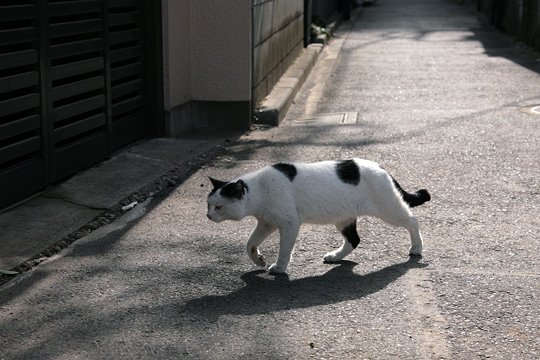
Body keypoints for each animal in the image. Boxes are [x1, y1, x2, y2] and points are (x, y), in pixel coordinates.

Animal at [207, 158, 430, 272]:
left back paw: (416, 248)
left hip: (389, 209)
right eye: (208, 205)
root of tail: (379, 166)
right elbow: (250, 244)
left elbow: (284, 250)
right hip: (343, 218)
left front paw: (279, 267)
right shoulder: (266, 223)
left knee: (413, 221)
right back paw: (335, 256)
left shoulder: (289, 223)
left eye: (218, 206)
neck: (260, 190)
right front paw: (259, 260)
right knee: (354, 240)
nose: (208, 216)